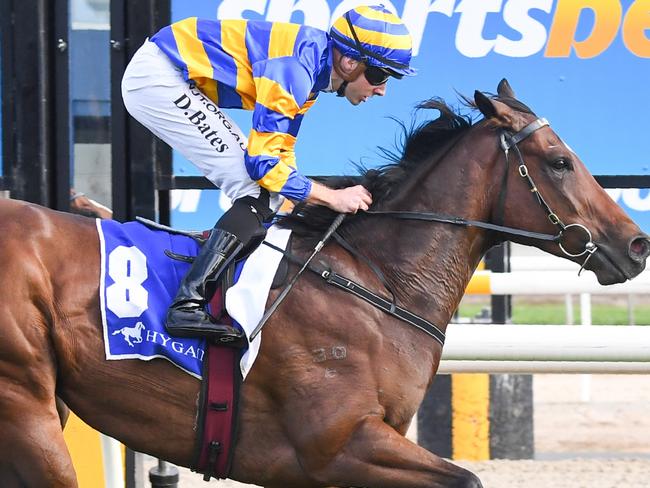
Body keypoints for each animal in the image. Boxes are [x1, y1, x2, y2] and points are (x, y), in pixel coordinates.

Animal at [0, 80, 644, 484]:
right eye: (559, 161)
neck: (381, 283)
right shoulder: (338, 445)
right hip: (26, 406)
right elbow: (467, 480)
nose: (637, 244)